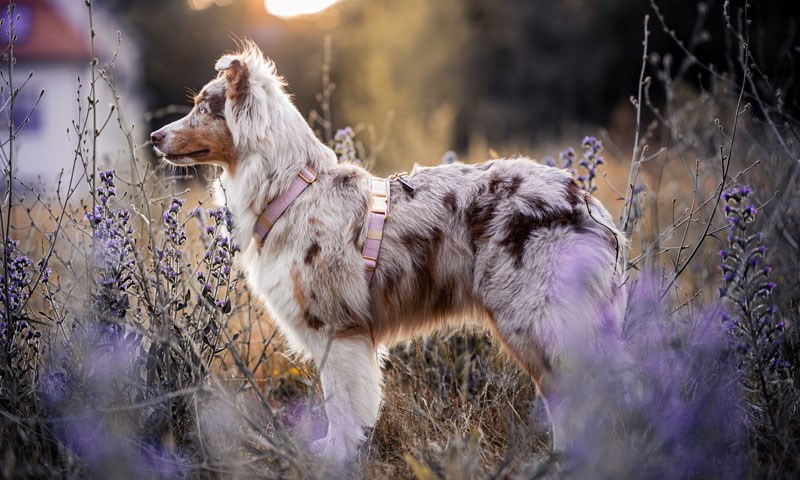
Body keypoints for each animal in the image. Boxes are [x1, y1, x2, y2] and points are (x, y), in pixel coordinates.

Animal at [148, 42, 624, 464]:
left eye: (202, 107)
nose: (154, 136)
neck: (291, 188)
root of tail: (585, 201)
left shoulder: (338, 328)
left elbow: (340, 404)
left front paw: (336, 457)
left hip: (534, 318)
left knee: (576, 391)